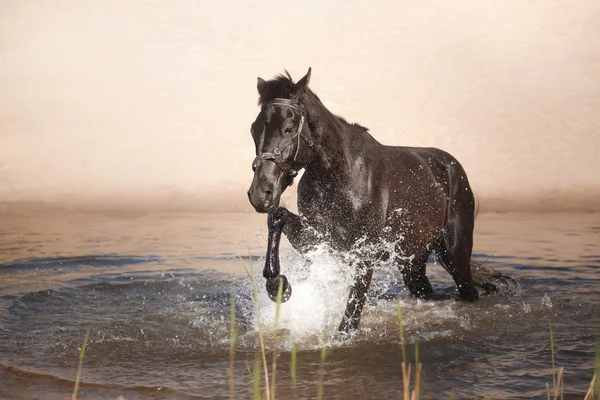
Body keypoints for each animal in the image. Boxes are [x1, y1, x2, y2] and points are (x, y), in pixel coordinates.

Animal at [247, 69, 510, 334]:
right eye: (254, 129)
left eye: (289, 128)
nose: (261, 193)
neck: (339, 175)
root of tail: (452, 165)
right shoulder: (319, 240)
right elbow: (277, 216)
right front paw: (278, 286)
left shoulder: (364, 255)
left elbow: (350, 318)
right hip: (412, 261)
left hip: (455, 253)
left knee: (468, 290)